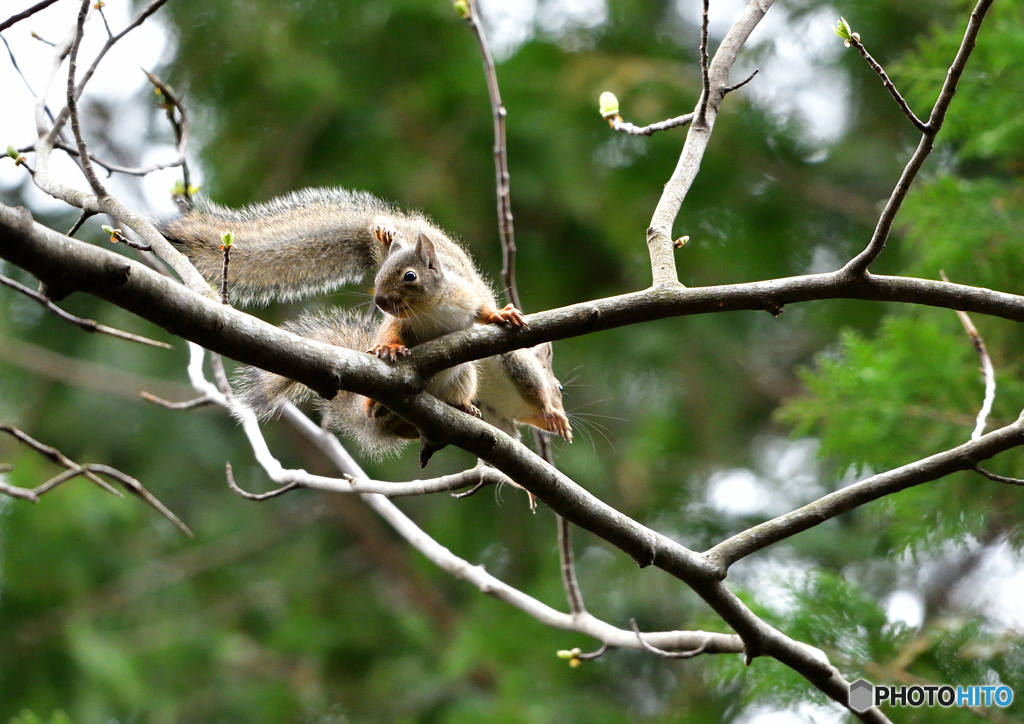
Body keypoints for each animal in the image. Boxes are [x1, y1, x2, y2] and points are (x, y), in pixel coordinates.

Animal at [162, 187, 573, 450]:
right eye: (560, 387)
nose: (380, 298)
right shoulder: (513, 359)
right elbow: (532, 386)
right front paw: (552, 414)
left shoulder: (500, 420)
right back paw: (384, 233)